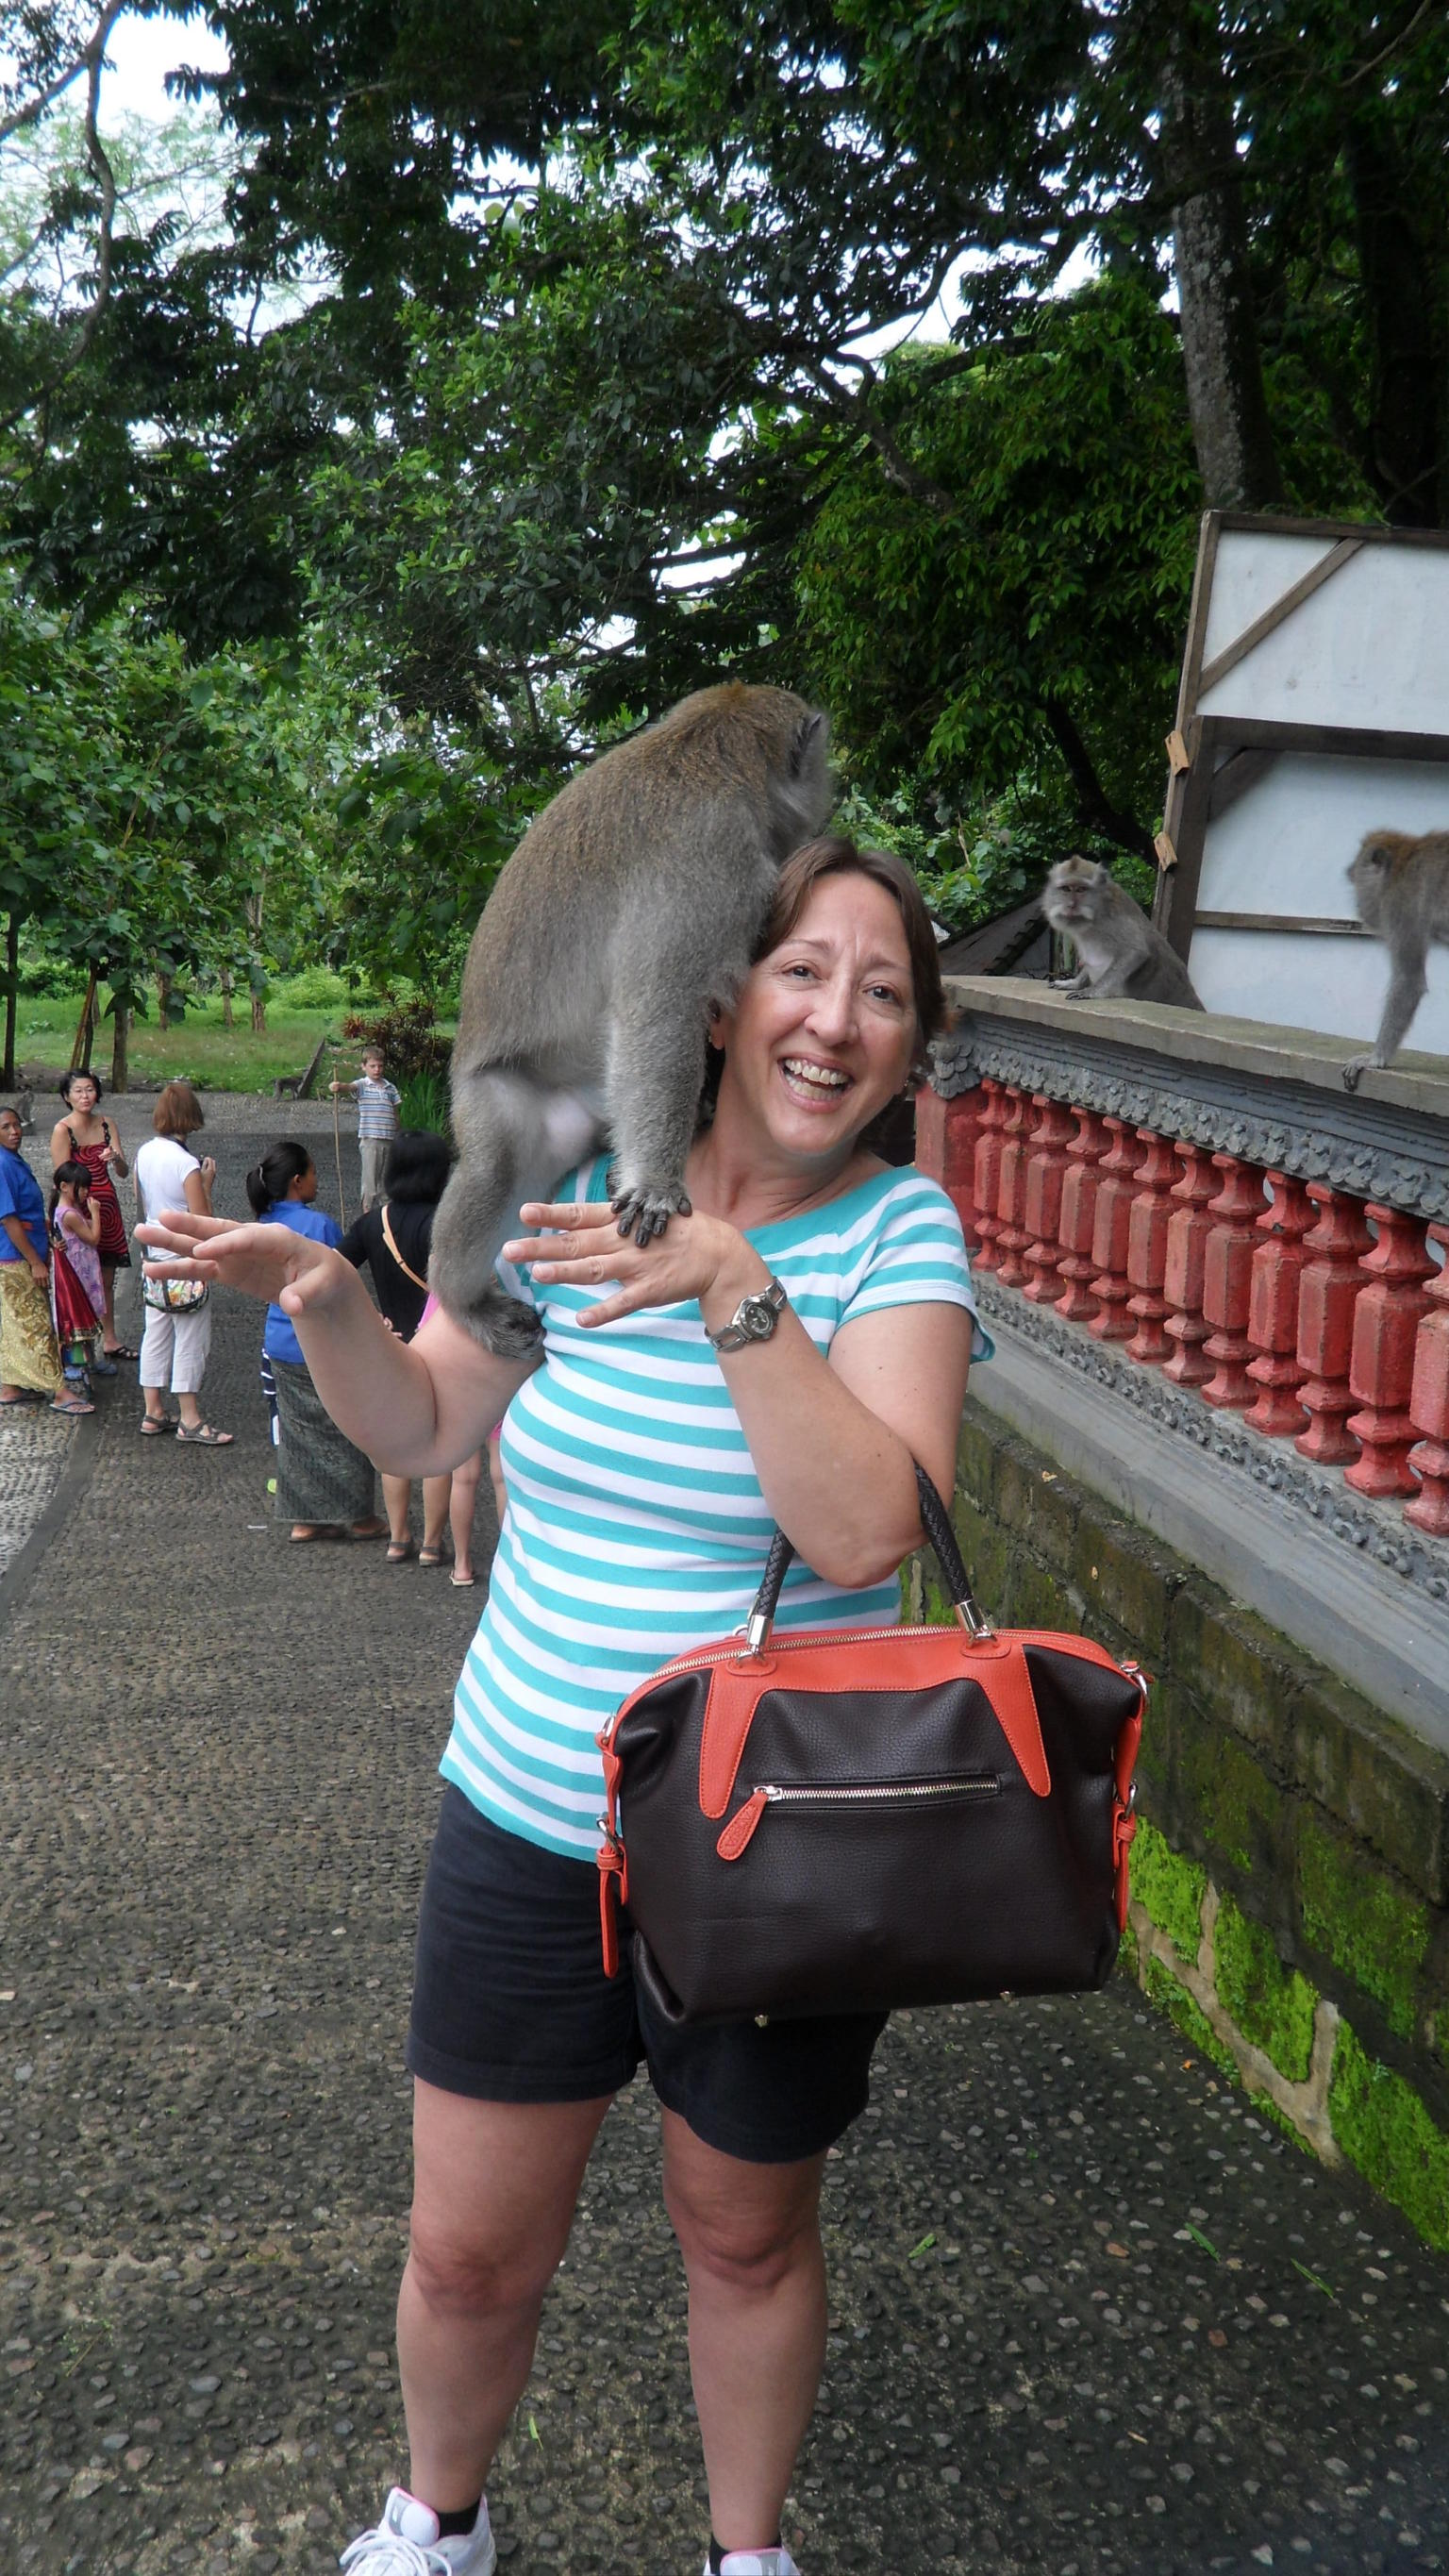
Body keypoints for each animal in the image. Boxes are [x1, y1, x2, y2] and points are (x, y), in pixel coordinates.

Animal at [426, 685, 828, 1360]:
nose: (832, 798)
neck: (713, 755)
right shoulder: (709, 864)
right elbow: (658, 1007)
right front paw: (658, 1186)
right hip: (492, 1096)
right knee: (495, 1168)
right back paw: (463, 1302)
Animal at [1050, 849, 1209, 999]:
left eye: (1081, 889)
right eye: (1066, 889)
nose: (1071, 905)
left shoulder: (1109, 923)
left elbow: (1135, 952)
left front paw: (1092, 991)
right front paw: (1073, 983)